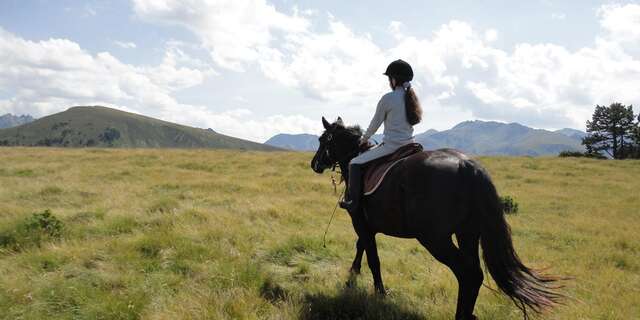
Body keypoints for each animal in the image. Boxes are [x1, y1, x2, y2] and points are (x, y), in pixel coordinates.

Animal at [310, 117, 564, 320]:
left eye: (323, 140)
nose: (314, 164)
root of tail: (468, 166)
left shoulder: (360, 221)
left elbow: (372, 257)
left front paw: (378, 292)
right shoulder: (369, 226)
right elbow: (362, 246)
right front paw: (352, 276)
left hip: (435, 239)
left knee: (467, 273)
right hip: (468, 233)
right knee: (474, 273)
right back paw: (467, 314)